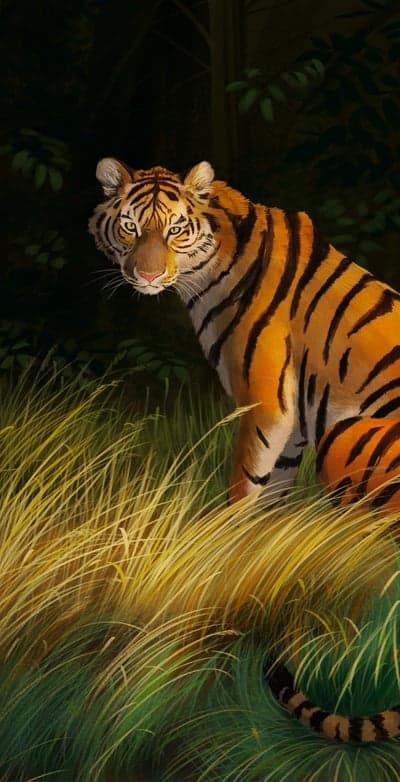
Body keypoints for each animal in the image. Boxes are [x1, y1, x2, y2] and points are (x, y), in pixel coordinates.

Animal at [89, 157, 400, 741]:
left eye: (175, 230)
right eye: (129, 227)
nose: (146, 276)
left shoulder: (265, 405)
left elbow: (242, 488)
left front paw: (223, 555)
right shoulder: (292, 425)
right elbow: (271, 499)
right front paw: (266, 560)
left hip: (345, 439)